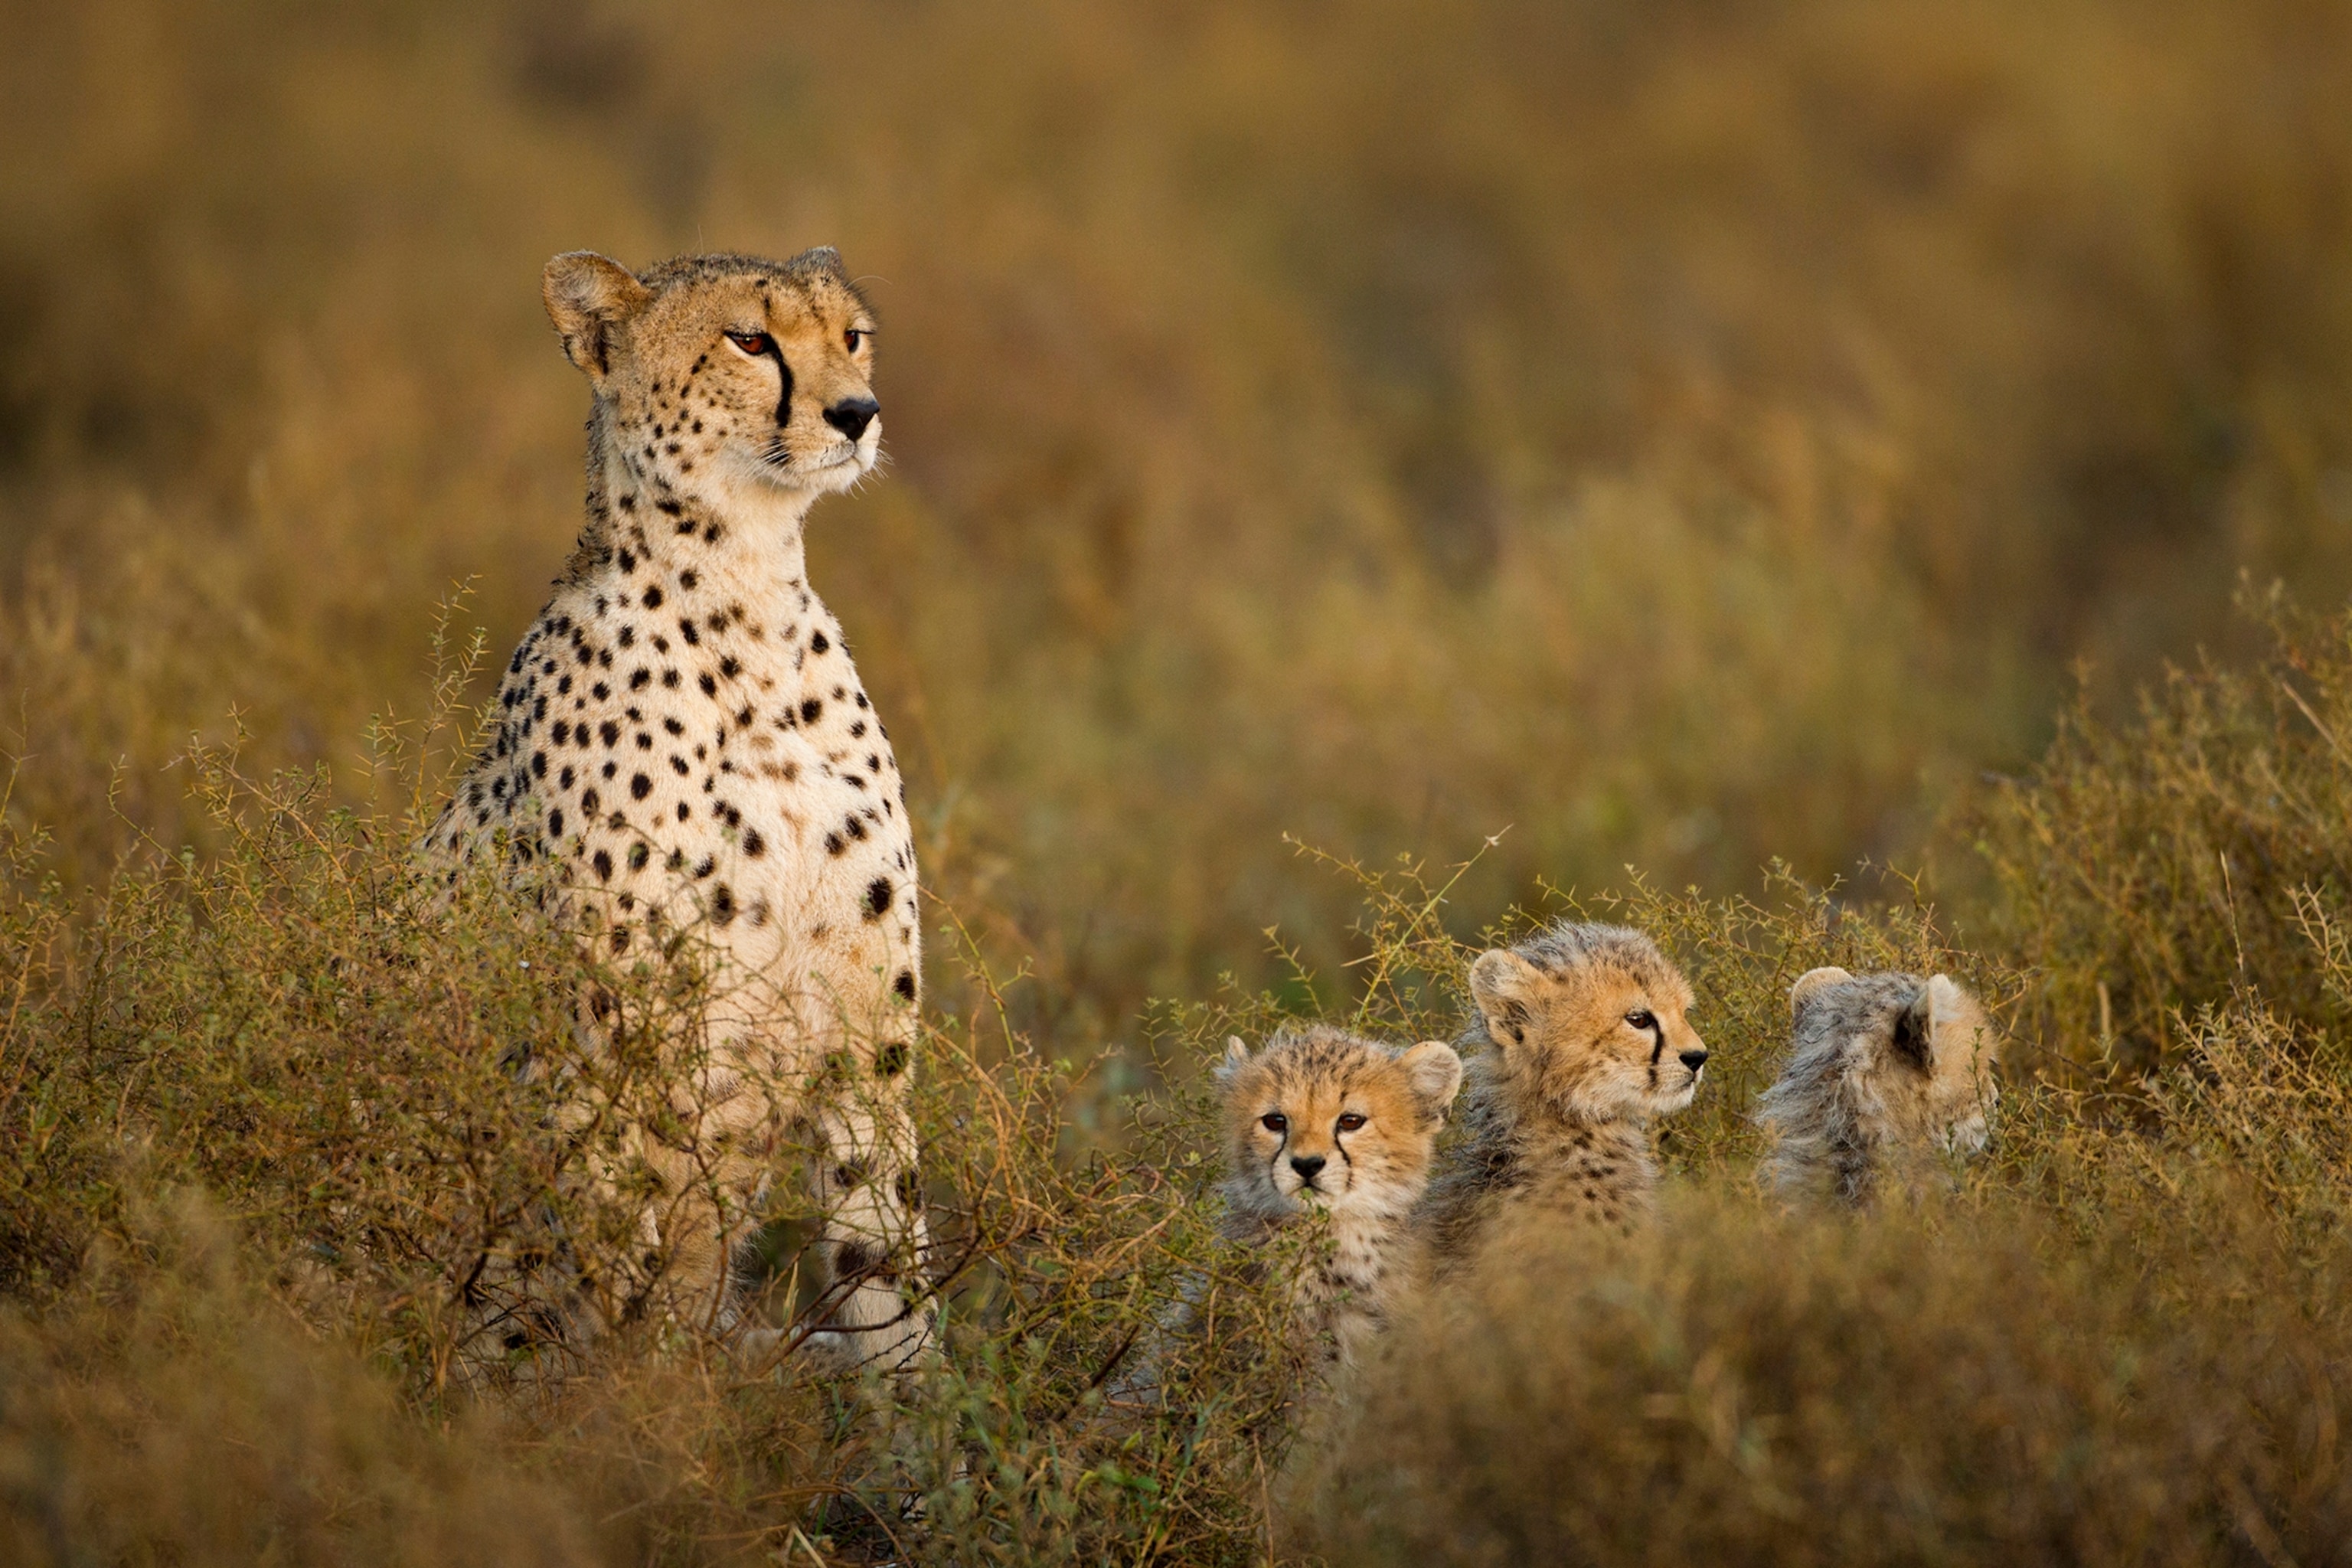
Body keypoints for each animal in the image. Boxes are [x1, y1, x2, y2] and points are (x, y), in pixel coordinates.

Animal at [423, 246, 930, 1373]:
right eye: (750, 339)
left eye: (853, 336)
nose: (858, 411)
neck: (750, 598)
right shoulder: (610, 1052)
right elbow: (629, 1270)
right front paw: (648, 1417)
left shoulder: (870, 1040)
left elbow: (890, 1269)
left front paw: (946, 1420)